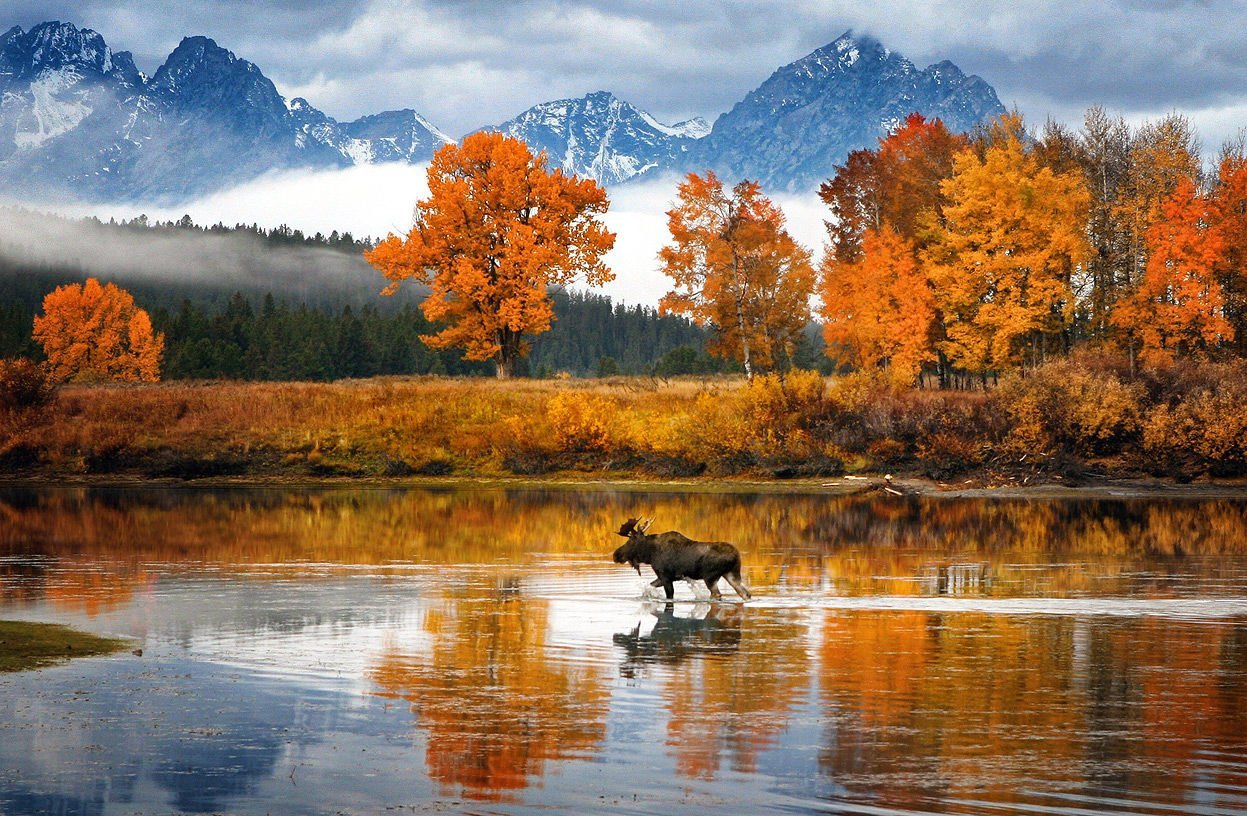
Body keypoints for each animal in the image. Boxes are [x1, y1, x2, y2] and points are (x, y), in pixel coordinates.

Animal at [611, 521, 748, 603]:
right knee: (745, 593)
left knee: (717, 594)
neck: (650, 555)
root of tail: (736, 555)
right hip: (732, 574)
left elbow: (669, 595)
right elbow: (648, 588)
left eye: (630, 541)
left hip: (710, 577)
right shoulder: (666, 577)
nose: (615, 555)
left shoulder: (665, 576)